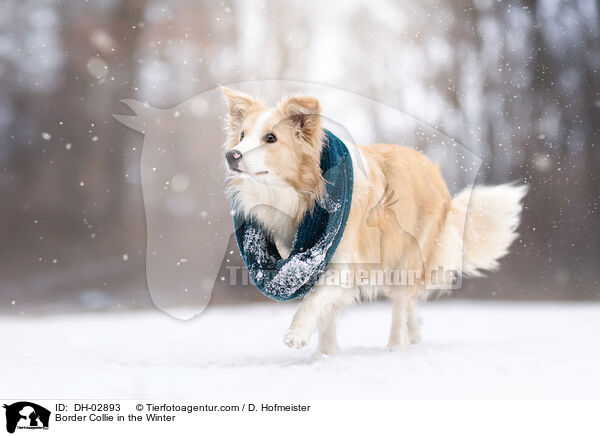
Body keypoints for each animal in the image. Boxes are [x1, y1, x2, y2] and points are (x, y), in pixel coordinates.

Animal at [220, 87, 524, 352]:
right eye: (242, 135)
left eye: (271, 138)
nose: (231, 155)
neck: (307, 191)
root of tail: (435, 172)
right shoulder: (315, 264)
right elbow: (325, 311)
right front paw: (324, 354)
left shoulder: (342, 262)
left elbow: (314, 301)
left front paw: (297, 333)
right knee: (411, 306)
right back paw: (414, 337)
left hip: (406, 258)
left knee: (401, 305)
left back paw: (396, 346)